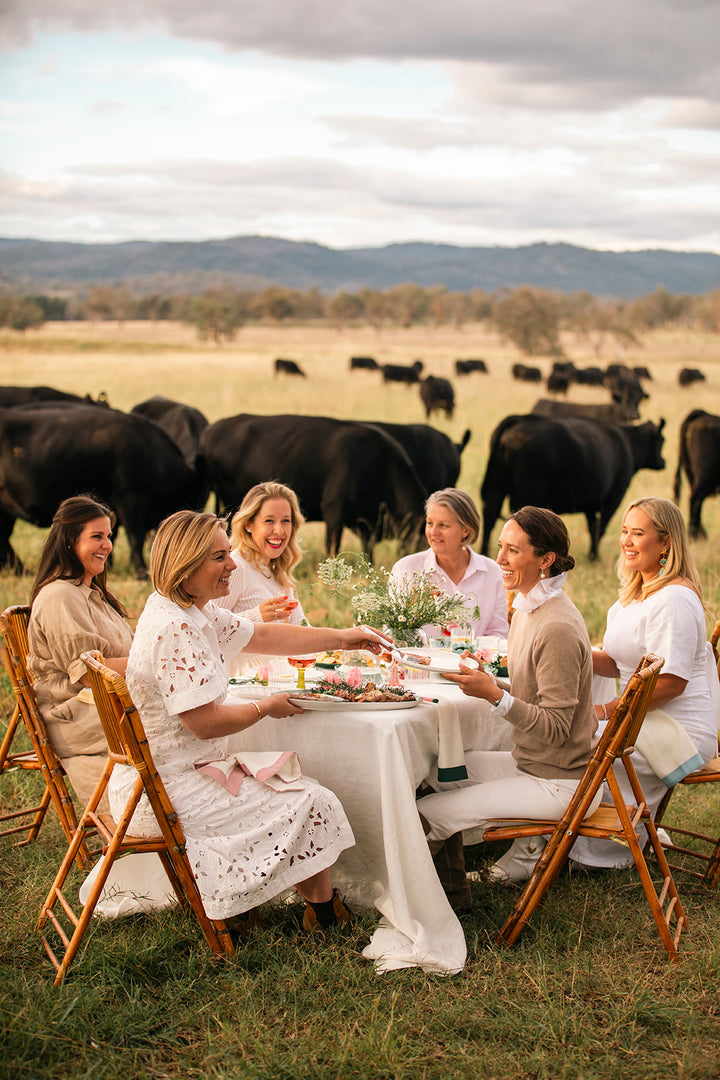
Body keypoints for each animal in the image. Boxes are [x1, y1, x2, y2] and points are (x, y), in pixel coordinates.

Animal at [481, 412, 669, 561]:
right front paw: (595, 557)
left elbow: (593, 527)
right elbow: (601, 527)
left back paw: (485, 553)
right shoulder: (614, 497)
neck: (628, 442)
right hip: (529, 491)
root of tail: (519, 418)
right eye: (661, 439)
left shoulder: (591, 504)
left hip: (496, 485)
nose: (663, 462)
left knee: (489, 517)